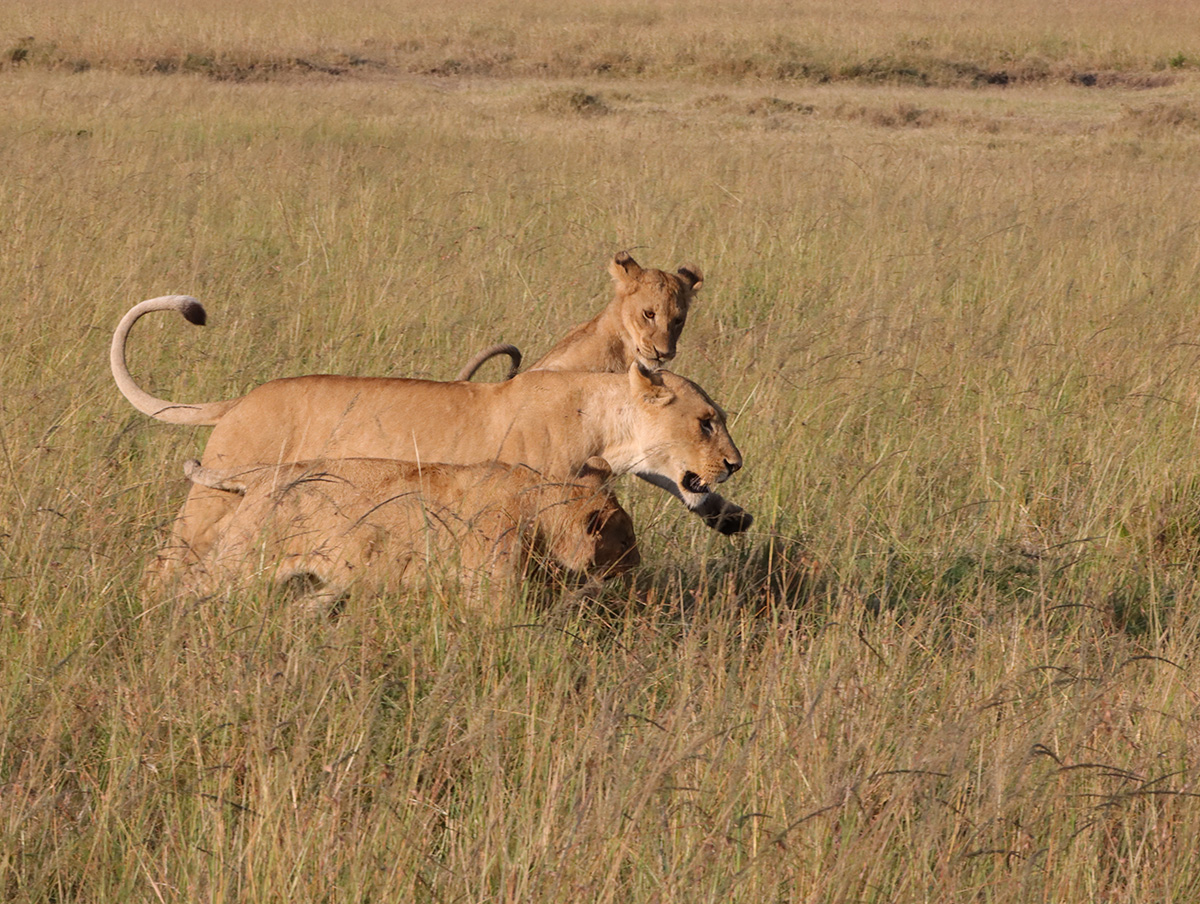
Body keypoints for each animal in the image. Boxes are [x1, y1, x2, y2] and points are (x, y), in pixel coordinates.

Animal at [109, 296, 751, 583]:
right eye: (706, 421)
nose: (735, 464)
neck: (600, 426)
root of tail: (240, 401)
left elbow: (673, 482)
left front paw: (729, 515)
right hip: (213, 505)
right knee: (170, 561)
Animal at [178, 455, 638, 610]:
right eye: (626, 539)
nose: (637, 563)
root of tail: (263, 472)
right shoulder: (491, 588)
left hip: (325, 583)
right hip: (237, 565)